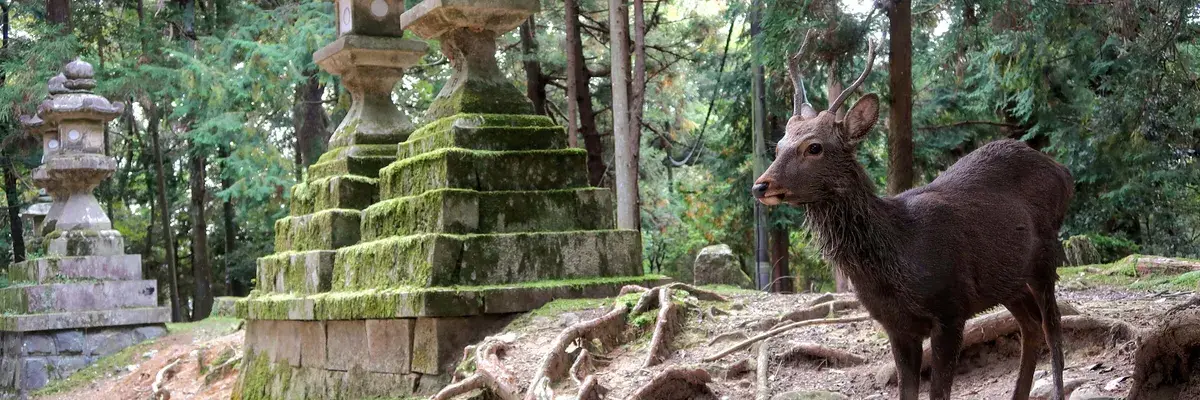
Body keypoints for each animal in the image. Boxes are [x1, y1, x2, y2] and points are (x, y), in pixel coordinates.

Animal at [751, 32, 1074, 400]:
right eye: (778, 146)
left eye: (814, 147)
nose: (760, 185)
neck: (899, 258)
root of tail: (1064, 173)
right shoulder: (896, 326)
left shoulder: (951, 308)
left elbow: (940, 392)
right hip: (1007, 280)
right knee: (1031, 326)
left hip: (1046, 256)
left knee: (1053, 329)